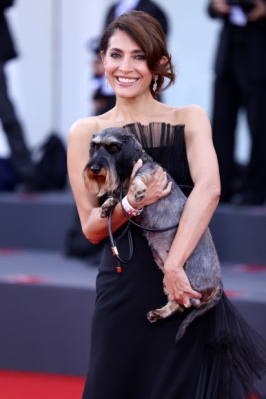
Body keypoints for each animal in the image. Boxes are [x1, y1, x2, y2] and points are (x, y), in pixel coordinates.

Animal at [83, 126, 222, 342]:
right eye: (95, 146)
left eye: (113, 147)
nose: (95, 168)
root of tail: (219, 285)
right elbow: (117, 198)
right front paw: (107, 206)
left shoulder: (147, 172)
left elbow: (138, 178)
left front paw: (138, 188)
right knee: (178, 306)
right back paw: (158, 313)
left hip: (185, 282)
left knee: (182, 305)